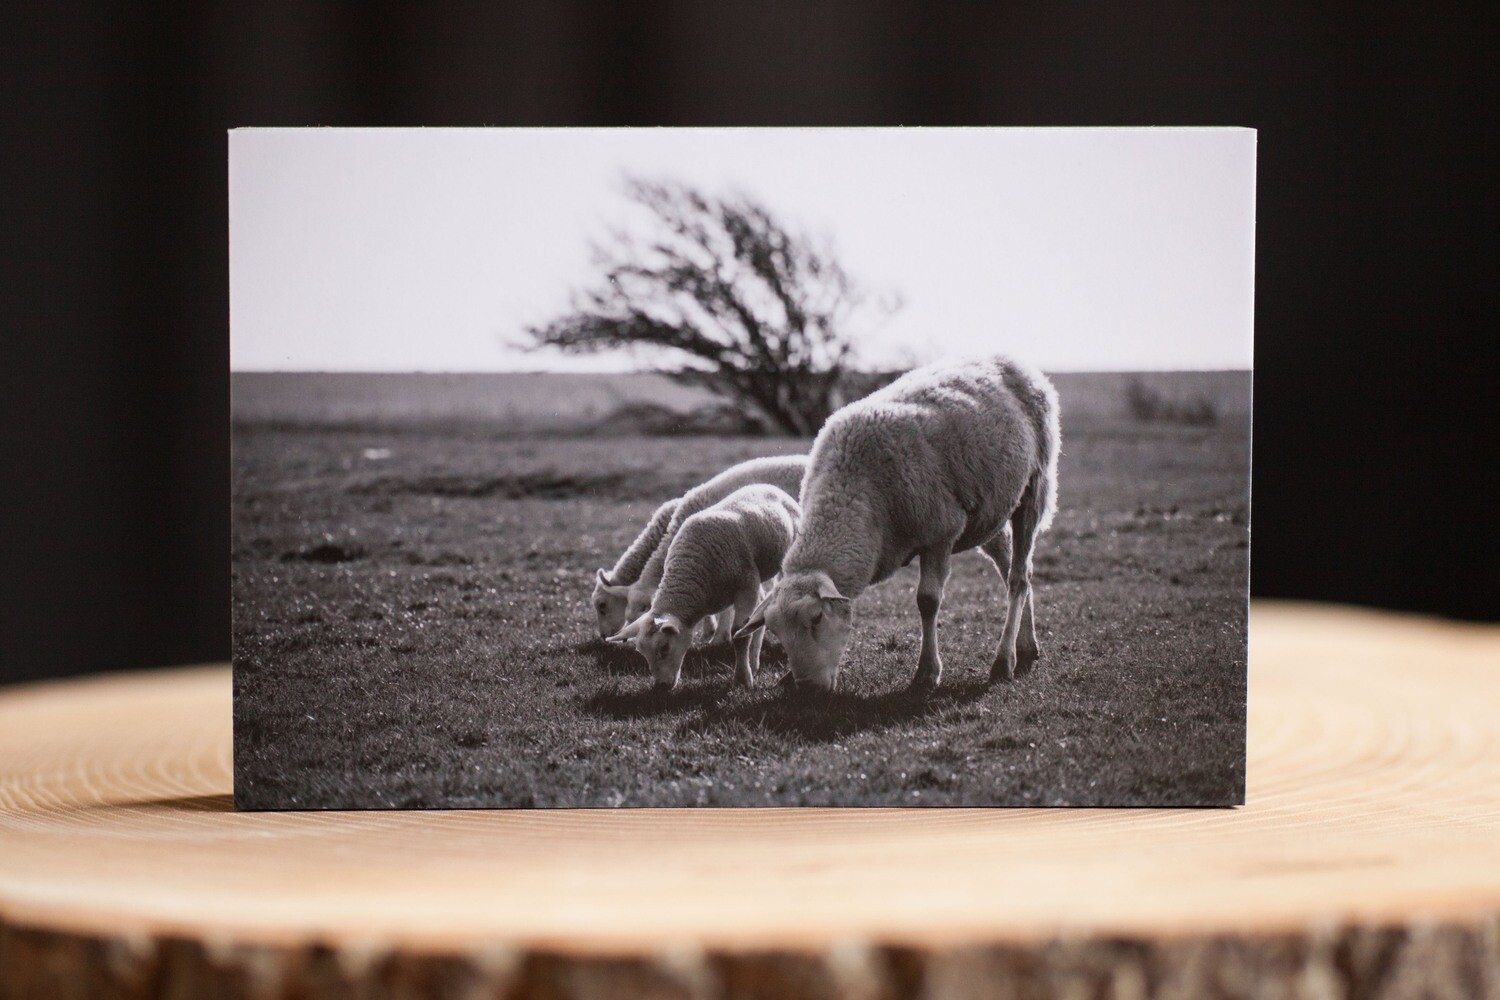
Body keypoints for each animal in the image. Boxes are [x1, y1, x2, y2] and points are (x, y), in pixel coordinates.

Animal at [609, 482, 804, 689]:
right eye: (642, 652)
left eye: (664, 647)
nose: (660, 687)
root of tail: (766, 486)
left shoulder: (746, 586)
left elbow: (739, 635)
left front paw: (742, 679)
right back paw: (754, 660)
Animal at [735, 355, 1062, 692]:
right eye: (777, 632)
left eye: (816, 618)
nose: (808, 688)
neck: (851, 488)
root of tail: (1010, 360)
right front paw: (788, 677)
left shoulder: (939, 533)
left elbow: (927, 601)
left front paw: (927, 672)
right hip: (989, 510)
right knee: (1013, 569)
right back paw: (1026, 646)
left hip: (1034, 487)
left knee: (1018, 577)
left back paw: (1004, 660)